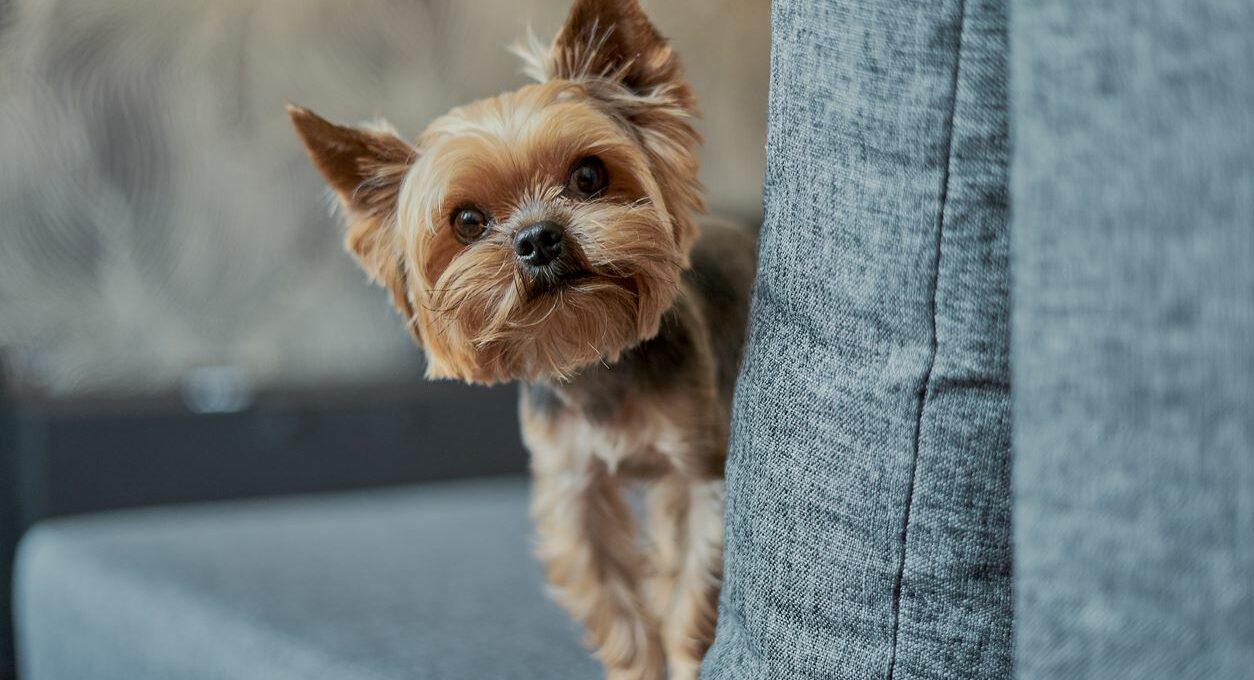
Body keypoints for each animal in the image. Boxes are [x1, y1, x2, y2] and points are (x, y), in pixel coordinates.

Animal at [287, 0, 752, 677]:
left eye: (589, 176)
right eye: (467, 221)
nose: (538, 238)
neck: (594, 360)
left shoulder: (699, 471)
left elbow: (693, 594)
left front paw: (687, 659)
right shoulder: (572, 489)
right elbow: (614, 605)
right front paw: (637, 666)